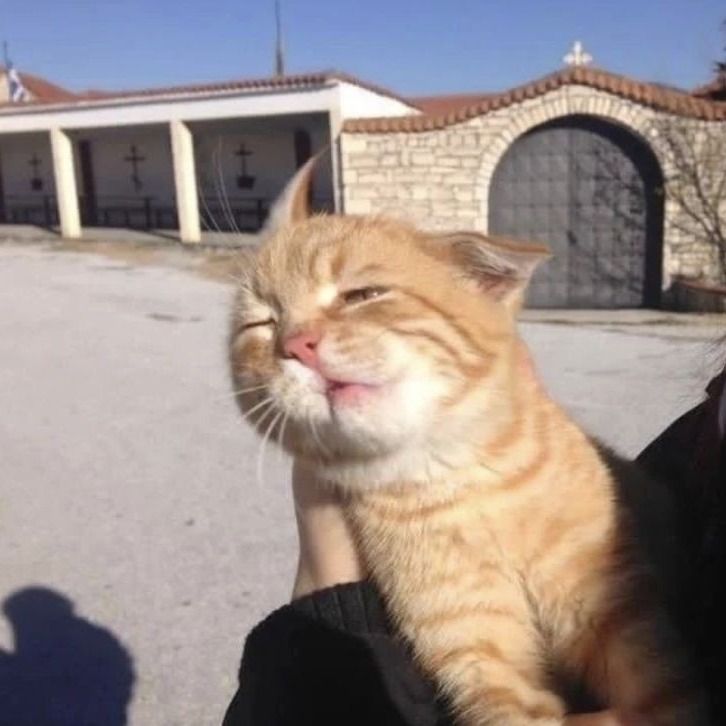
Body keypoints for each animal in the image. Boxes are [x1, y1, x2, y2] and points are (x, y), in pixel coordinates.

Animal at [228, 158, 708, 725]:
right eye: (262, 323)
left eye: (362, 295)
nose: (295, 345)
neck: (459, 481)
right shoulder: (477, 655)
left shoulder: (623, 611)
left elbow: (668, 693)